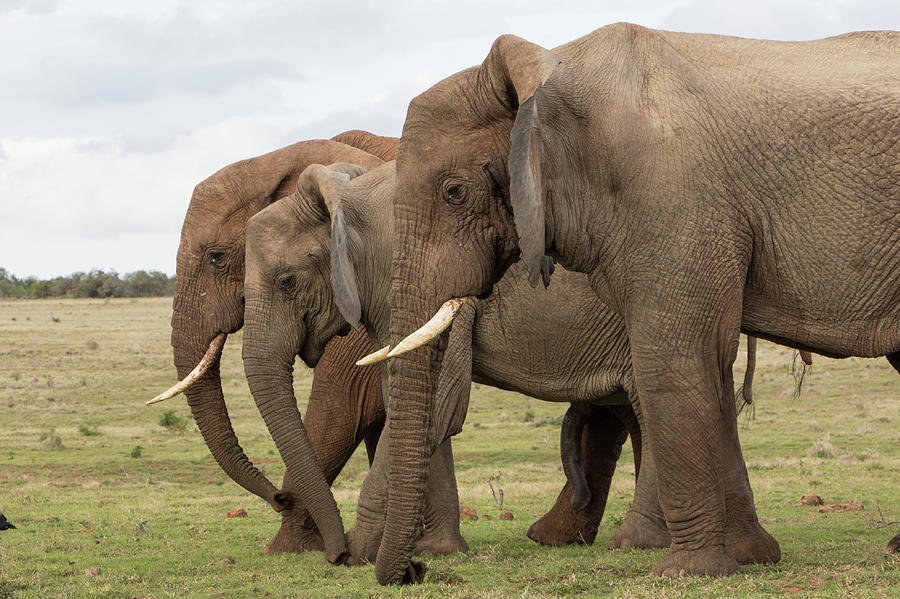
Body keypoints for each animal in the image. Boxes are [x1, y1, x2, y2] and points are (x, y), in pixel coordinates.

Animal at [241, 159, 772, 572]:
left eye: (287, 282)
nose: (332, 554)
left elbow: (437, 405)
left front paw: (363, 554)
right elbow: (419, 409)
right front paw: (437, 552)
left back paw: (633, 543)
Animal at [380, 22, 900, 580]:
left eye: (453, 192)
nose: (414, 572)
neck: (548, 73)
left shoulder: (672, 198)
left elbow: (675, 359)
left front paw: (686, 572)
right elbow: (710, 363)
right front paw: (749, 558)